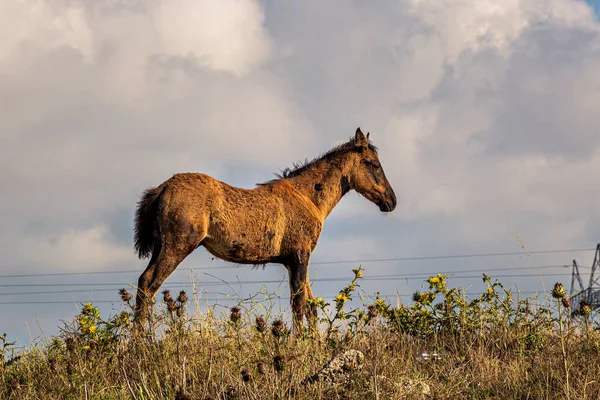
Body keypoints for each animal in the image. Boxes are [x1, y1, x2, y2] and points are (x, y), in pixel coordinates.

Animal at [135, 128, 398, 334]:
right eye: (374, 164)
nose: (391, 201)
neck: (307, 197)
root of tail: (162, 187)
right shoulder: (300, 256)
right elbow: (298, 304)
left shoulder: (295, 260)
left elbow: (311, 305)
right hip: (178, 246)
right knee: (150, 285)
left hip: (161, 246)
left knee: (143, 282)